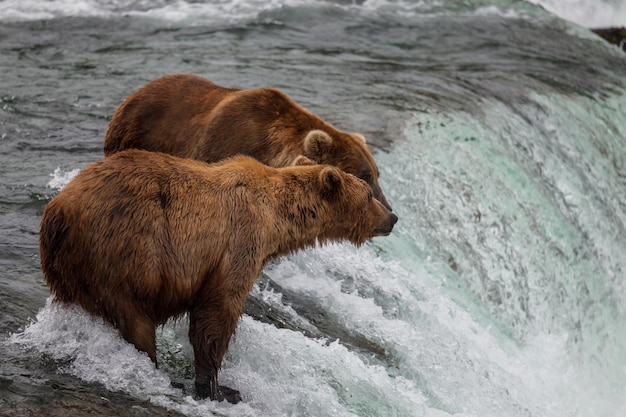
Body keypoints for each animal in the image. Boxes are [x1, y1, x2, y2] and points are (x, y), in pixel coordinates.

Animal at [39, 149, 398, 404]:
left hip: (68, 272)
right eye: (368, 194)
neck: (276, 220)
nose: (392, 217)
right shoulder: (239, 240)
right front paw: (218, 387)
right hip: (124, 253)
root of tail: (58, 211)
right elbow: (217, 313)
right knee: (135, 320)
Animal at [102, 72, 390, 211]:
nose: (390, 208)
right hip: (133, 134)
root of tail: (137, 92)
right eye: (364, 176)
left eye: (377, 174)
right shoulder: (222, 144)